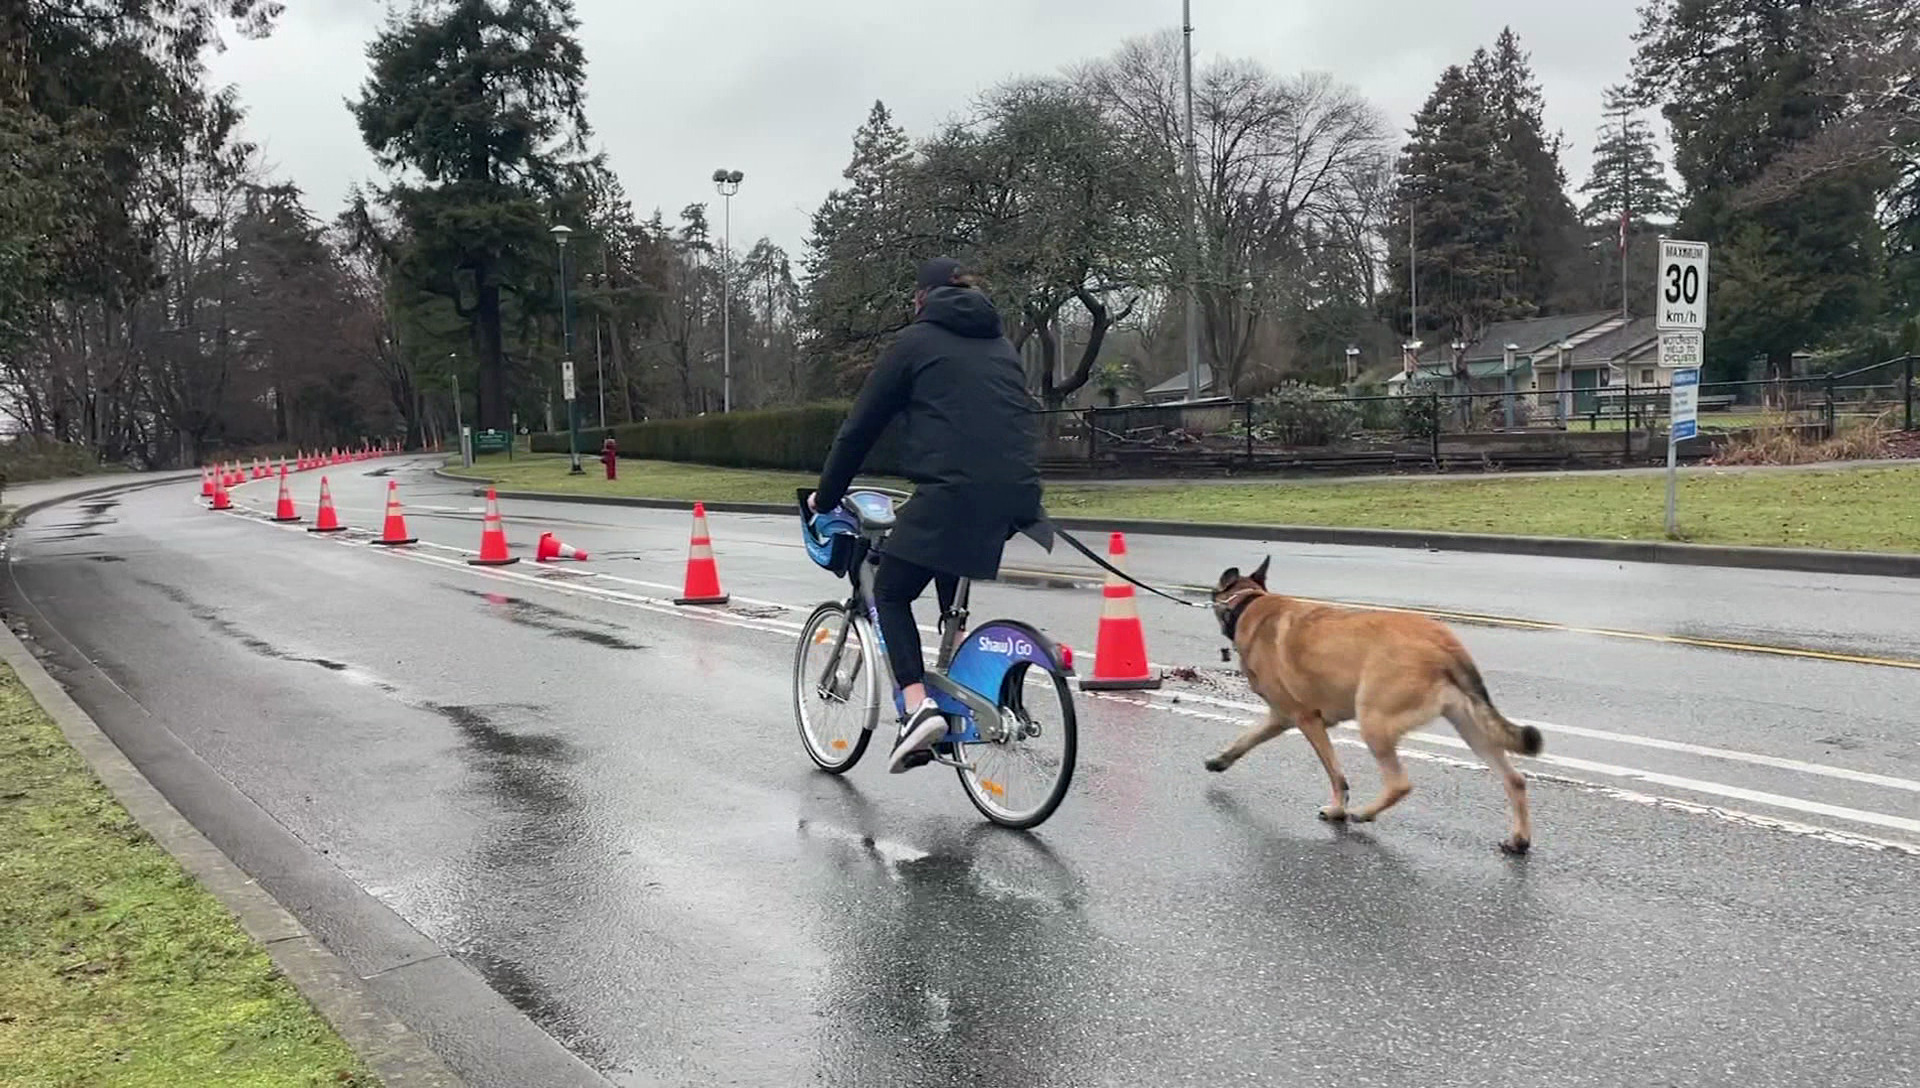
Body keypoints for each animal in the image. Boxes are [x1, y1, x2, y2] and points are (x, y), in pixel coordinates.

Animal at [1205, 556, 1536, 855]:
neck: (1250, 603)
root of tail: (1444, 644)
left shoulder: (1305, 719)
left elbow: (1336, 776)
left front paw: (1338, 810)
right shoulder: (1281, 717)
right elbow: (1246, 739)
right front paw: (1220, 760)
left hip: (1374, 722)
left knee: (1399, 784)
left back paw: (1365, 812)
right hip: (1471, 728)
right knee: (1515, 779)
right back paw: (1519, 839)